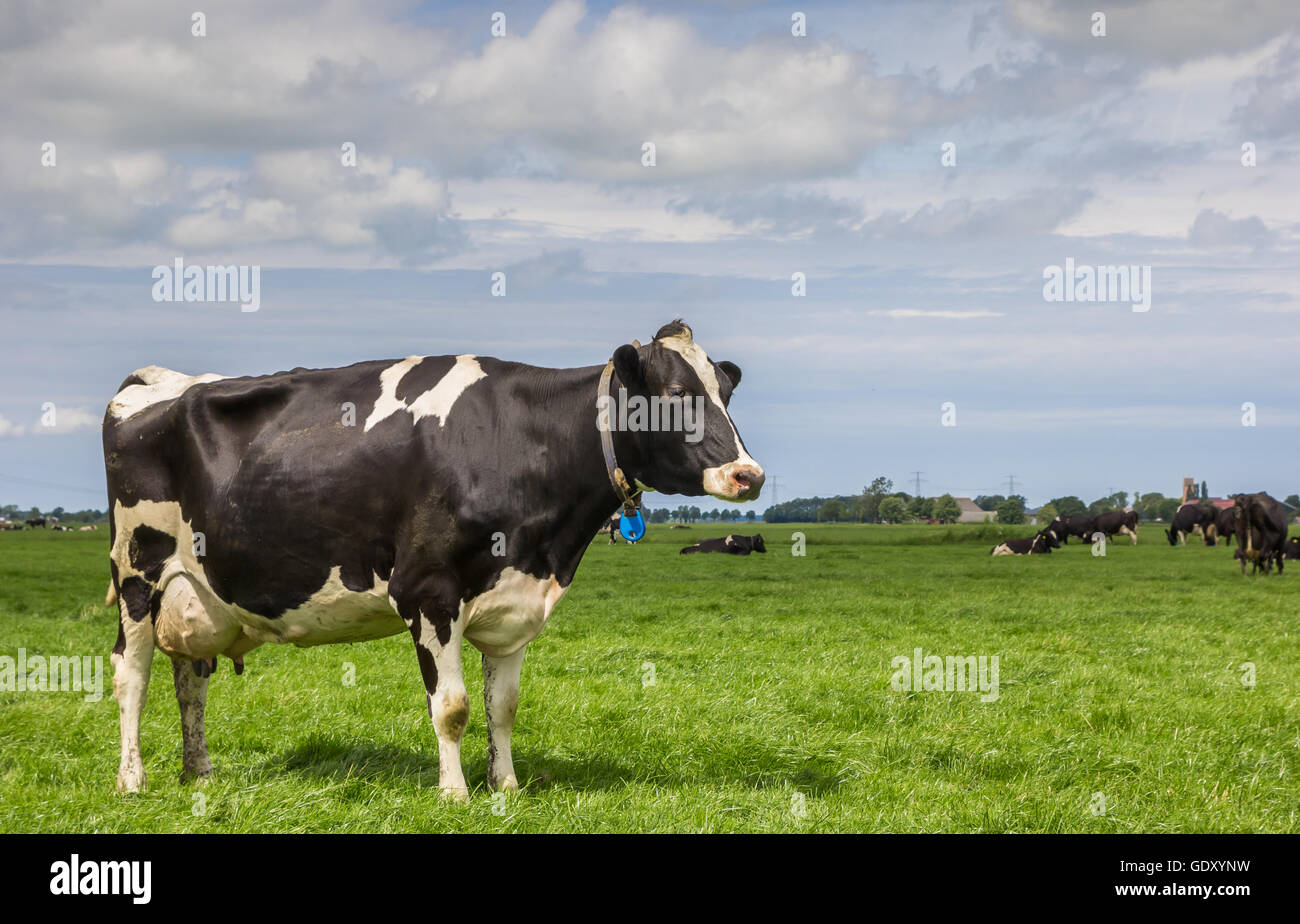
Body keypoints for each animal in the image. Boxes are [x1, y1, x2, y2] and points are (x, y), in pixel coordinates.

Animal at [102, 320, 763, 797]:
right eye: (676, 394)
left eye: (727, 393)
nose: (748, 474)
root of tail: (157, 378)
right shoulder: (427, 590)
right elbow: (452, 707)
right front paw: (455, 793)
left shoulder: (514, 603)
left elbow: (503, 708)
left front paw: (506, 786)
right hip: (138, 572)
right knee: (130, 674)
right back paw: (132, 779)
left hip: (195, 593)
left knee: (190, 680)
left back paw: (199, 772)